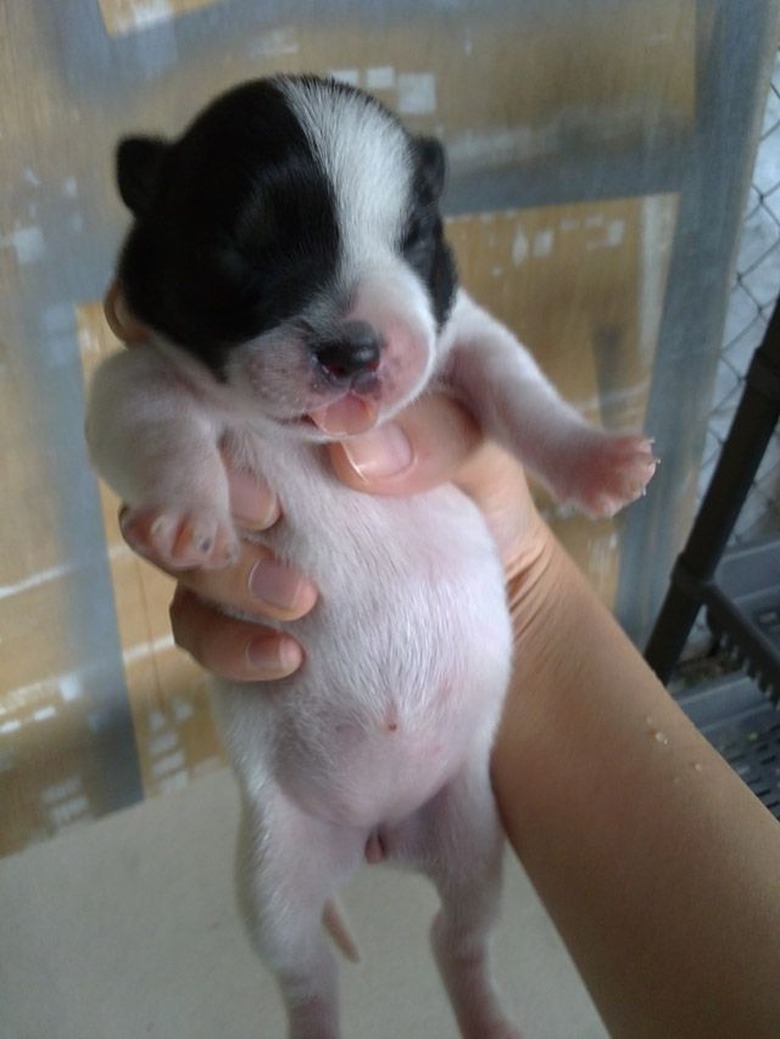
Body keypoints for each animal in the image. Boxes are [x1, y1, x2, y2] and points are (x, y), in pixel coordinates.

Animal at [86, 75, 660, 1039]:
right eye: (243, 247)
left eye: (415, 237)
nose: (354, 346)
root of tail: (378, 835)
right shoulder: (130, 382)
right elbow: (164, 432)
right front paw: (190, 516)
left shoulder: (463, 332)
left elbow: (521, 389)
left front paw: (598, 460)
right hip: (276, 872)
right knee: (308, 973)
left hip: (471, 834)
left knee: (456, 938)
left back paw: (489, 1018)